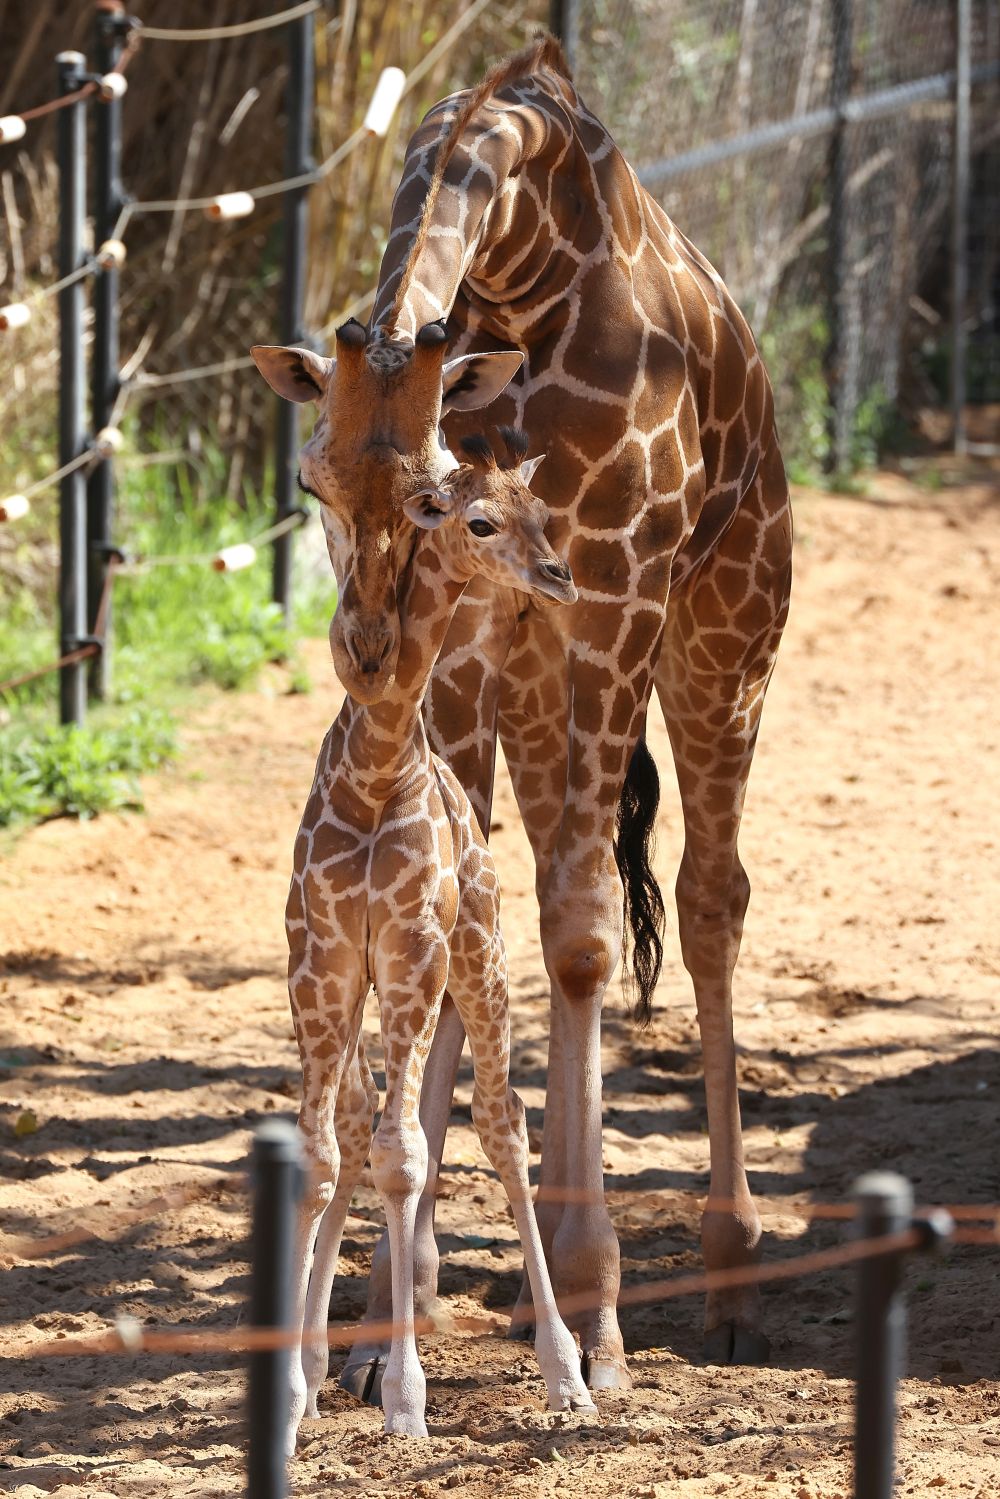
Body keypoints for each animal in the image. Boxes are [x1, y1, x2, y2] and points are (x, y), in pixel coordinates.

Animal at [283, 428, 593, 1445]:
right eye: (480, 520)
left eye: (545, 513)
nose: (559, 576)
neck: (377, 765)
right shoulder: (323, 962)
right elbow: (327, 1156)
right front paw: (293, 1393)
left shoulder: (415, 949)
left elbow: (408, 1154)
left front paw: (406, 1400)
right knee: (354, 1127)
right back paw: (312, 1365)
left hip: (483, 959)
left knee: (501, 1123)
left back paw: (567, 1375)